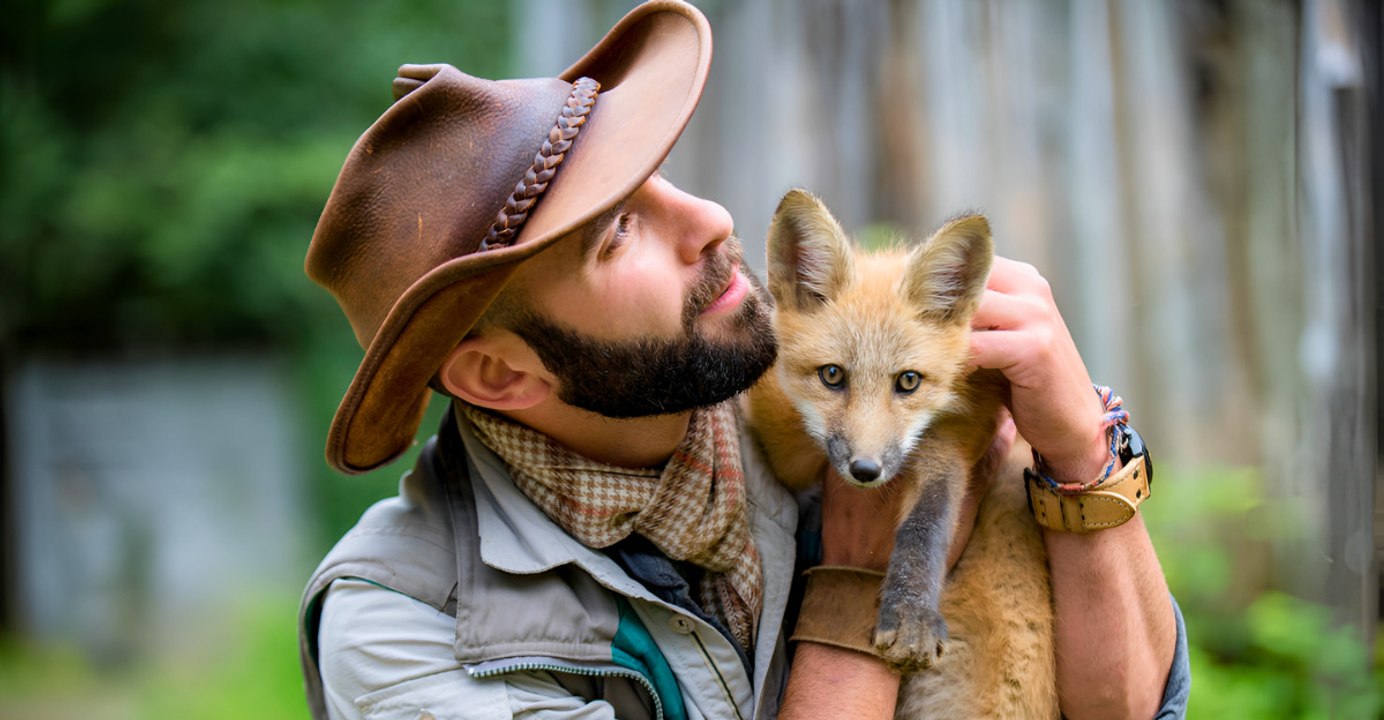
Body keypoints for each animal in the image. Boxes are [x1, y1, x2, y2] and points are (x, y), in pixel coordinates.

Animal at [745, 189, 1058, 718]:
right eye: (832, 375)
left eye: (908, 381)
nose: (866, 470)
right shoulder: (786, 439)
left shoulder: (952, 440)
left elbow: (928, 521)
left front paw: (911, 614)